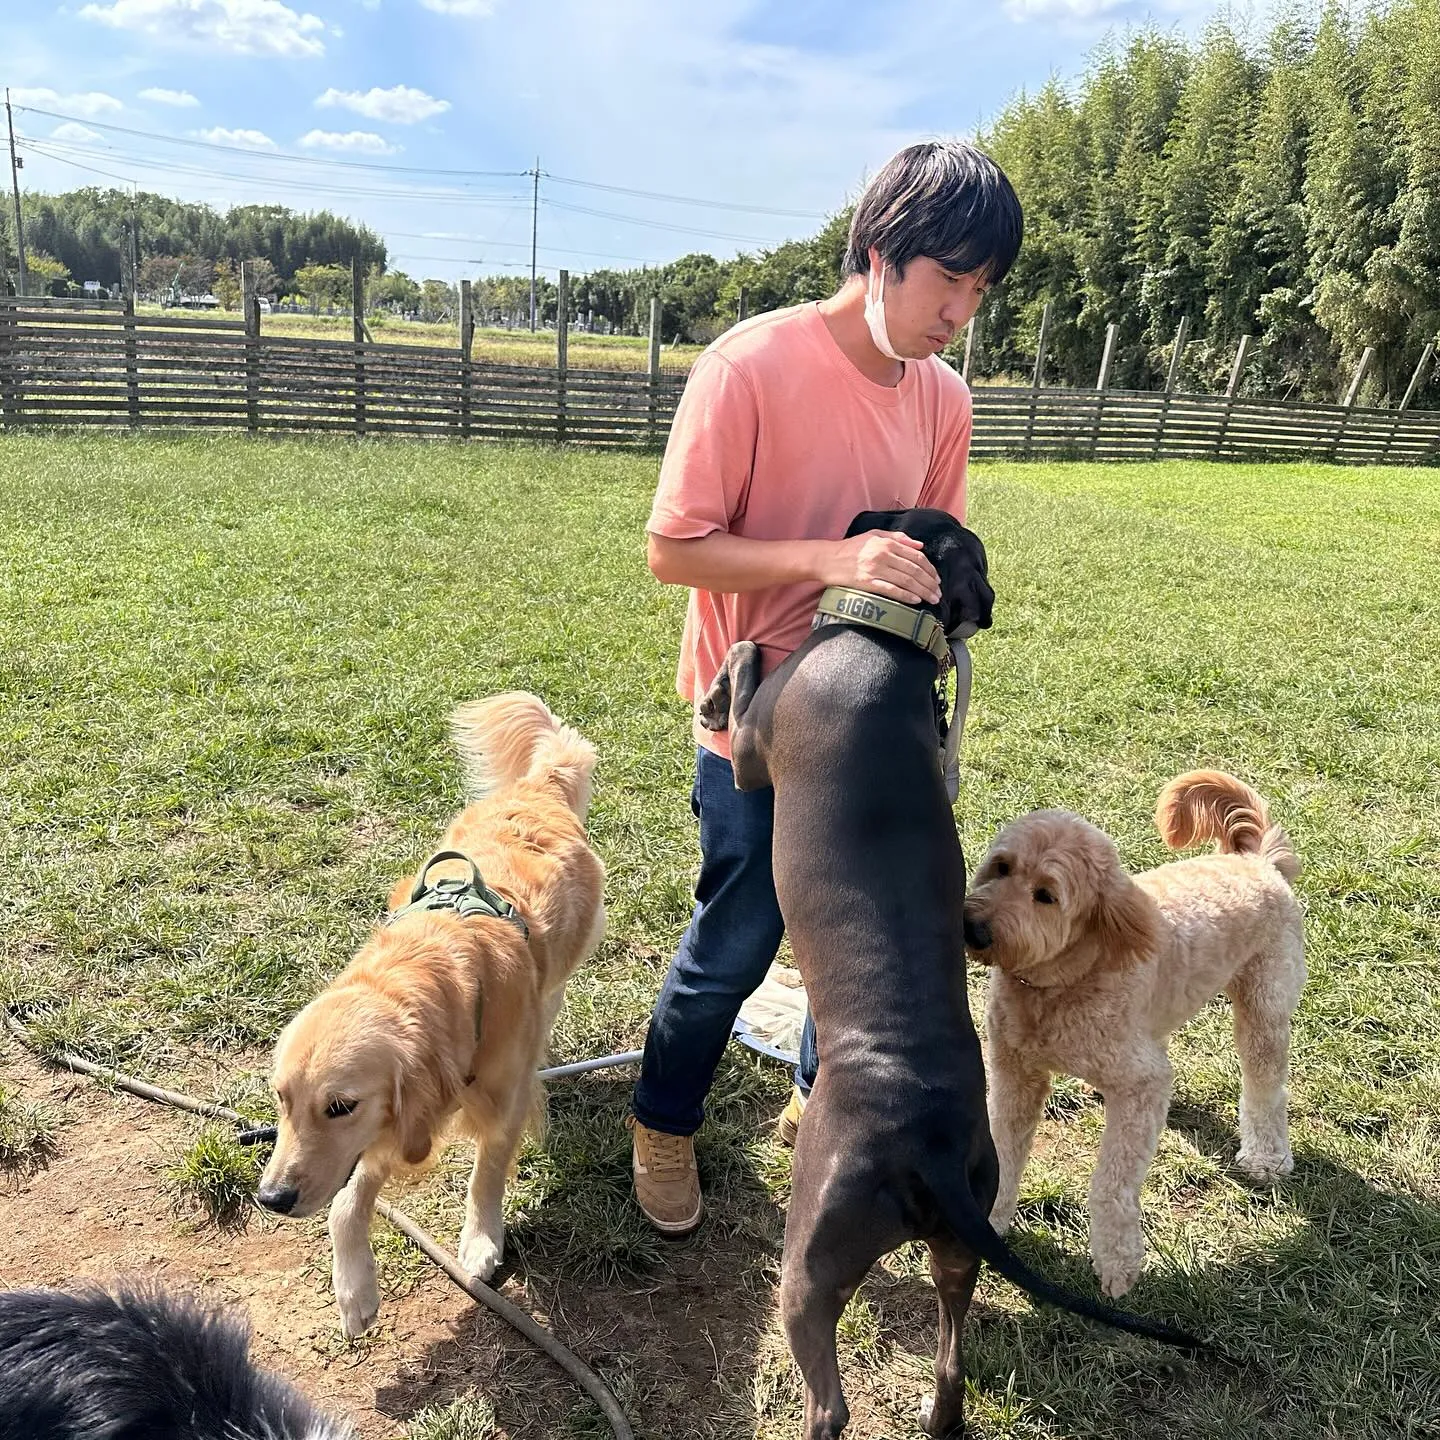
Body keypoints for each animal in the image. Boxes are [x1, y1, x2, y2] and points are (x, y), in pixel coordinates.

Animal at [256, 691, 604, 1330]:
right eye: (281, 1099)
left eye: (339, 1105)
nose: (272, 1199)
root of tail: (536, 789)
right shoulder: (401, 1118)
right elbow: (346, 1201)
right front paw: (355, 1291)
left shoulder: (497, 1100)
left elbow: (487, 1171)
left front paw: (481, 1240)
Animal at [702, 509, 1198, 1440]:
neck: (884, 640)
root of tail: (926, 1144)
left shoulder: (755, 750)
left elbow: (747, 652)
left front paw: (715, 692)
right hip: (963, 1241)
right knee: (952, 1362)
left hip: (811, 1261)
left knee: (830, 1403)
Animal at [967, 771, 1307, 1301]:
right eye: (1001, 867)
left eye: (1046, 895)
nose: (974, 929)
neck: (1061, 982)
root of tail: (1257, 862)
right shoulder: (1015, 1072)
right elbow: (1002, 1149)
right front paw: (990, 1225)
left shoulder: (1138, 1083)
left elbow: (1111, 1182)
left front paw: (1116, 1261)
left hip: (1264, 1007)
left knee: (1265, 1086)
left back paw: (1267, 1157)